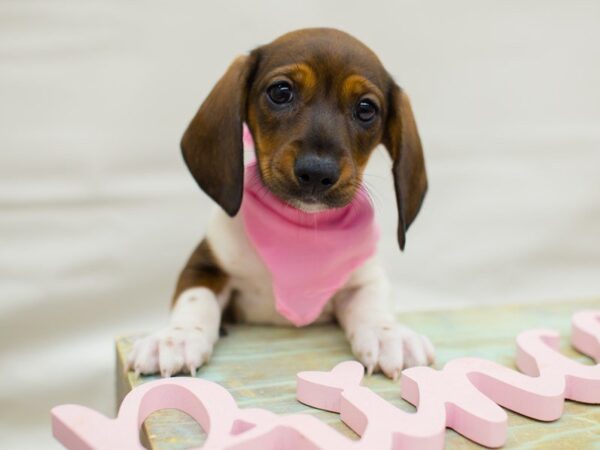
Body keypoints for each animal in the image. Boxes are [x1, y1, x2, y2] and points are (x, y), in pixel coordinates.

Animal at [129, 28, 434, 380]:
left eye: (366, 108)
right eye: (281, 91)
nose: (317, 172)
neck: (299, 226)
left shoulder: (364, 276)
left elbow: (373, 301)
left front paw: (389, 334)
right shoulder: (204, 264)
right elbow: (194, 299)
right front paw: (176, 337)